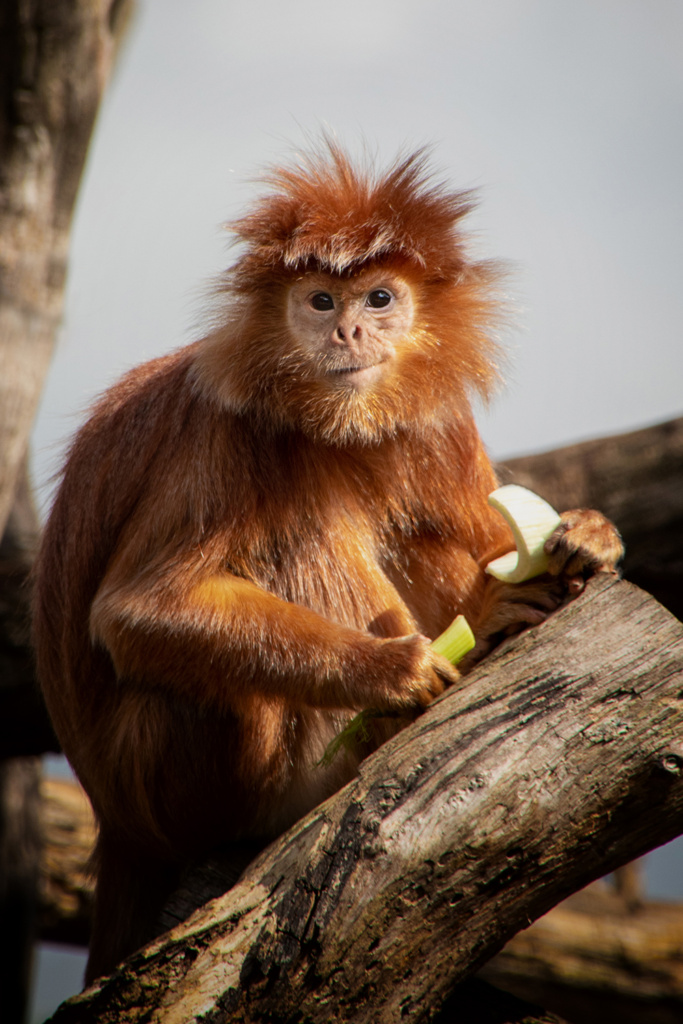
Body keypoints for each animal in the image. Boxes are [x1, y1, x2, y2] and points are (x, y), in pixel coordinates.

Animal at [31, 146, 622, 983]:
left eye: (378, 298)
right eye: (317, 301)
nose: (346, 329)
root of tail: (118, 828)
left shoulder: (434, 417)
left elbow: (488, 544)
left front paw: (585, 539)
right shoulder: (220, 427)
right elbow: (140, 610)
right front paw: (391, 670)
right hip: (169, 786)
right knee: (292, 540)